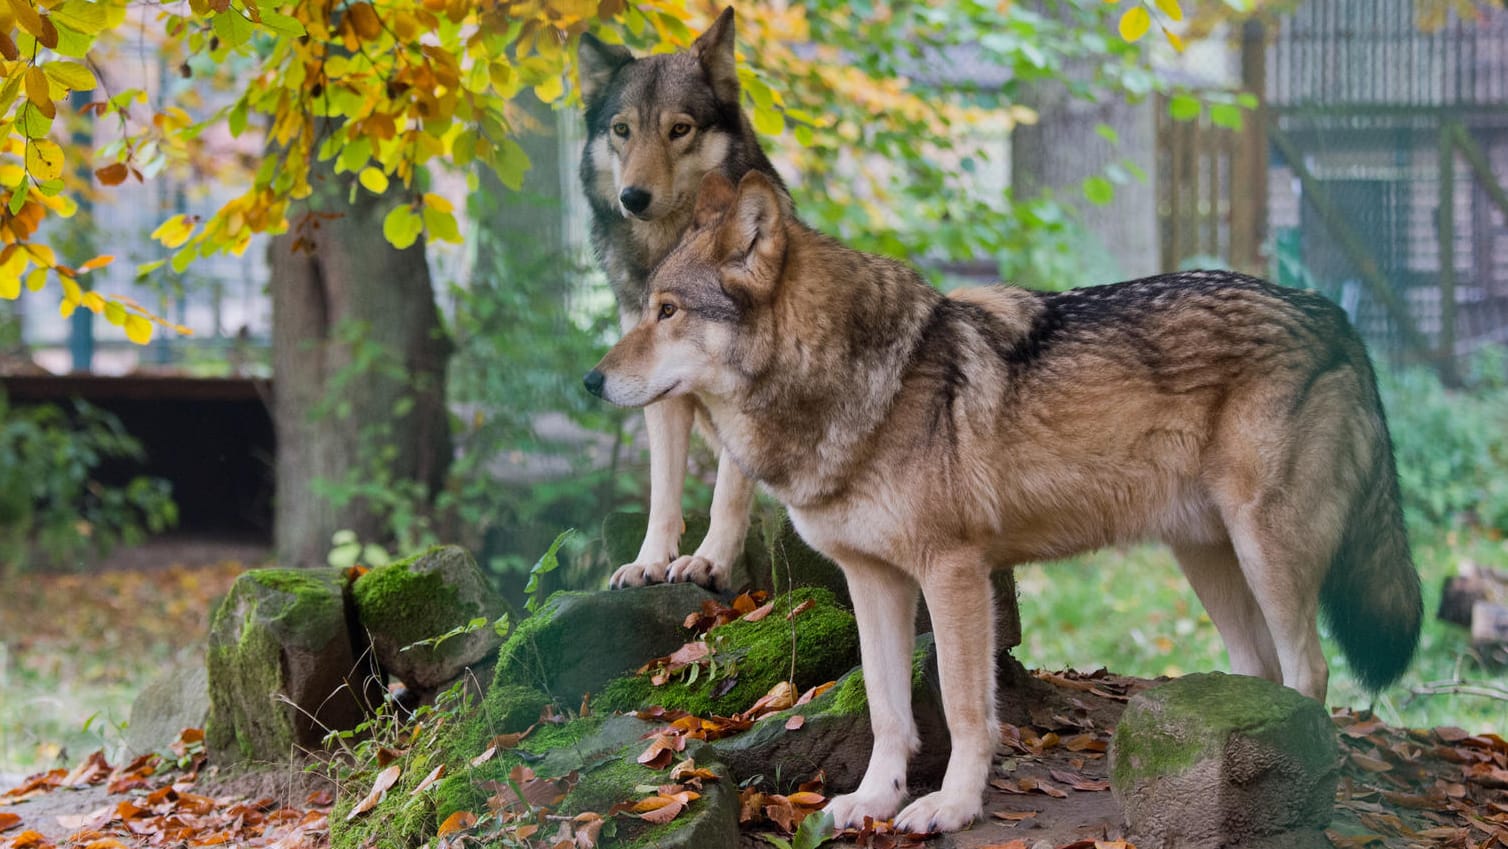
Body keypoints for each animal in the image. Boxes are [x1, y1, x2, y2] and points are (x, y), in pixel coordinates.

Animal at [576, 8, 790, 591]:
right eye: (622, 130)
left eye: (679, 129)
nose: (633, 197)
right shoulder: (655, 384)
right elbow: (663, 490)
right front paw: (649, 562)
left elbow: (726, 494)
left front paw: (709, 561)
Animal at [588, 172, 1423, 838]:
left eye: (668, 311)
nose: (592, 382)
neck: (861, 381)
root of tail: (1335, 317)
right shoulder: (873, 580)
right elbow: (887, 708)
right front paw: (873, 799)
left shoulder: (953, 572)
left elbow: (963, 710)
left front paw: (951, 807)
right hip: (1209, 561)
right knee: (1263, 671)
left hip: (1266, 550)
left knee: (1311, 671)